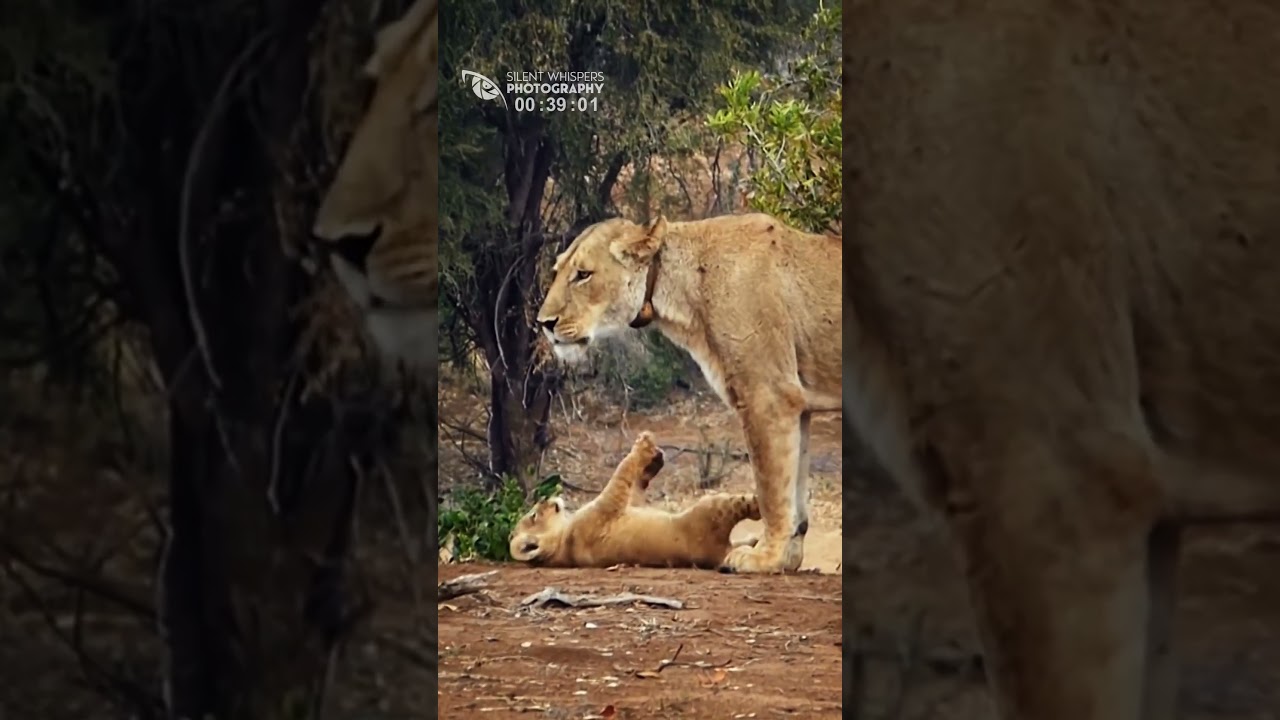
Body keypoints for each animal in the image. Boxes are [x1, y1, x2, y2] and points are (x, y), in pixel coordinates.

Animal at [509, 432, 761, 569]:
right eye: (533, 515)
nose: (544, 497)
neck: (563, 541)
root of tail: (716, 555)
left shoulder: (630, 504)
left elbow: (637, 486)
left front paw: (653, 460)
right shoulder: (609, 504)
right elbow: (622, 470)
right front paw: (643, 446)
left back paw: (755, 539)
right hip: (709, 508)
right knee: (741, 504)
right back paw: (760, 505)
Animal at [536, 214, 842, 574]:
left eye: (583, 274)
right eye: (558, 271)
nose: (544, 323)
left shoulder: (768, 396)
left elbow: (771, 486)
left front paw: (764, 557)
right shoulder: (797, 404)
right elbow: (795, 492)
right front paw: (787, 559)